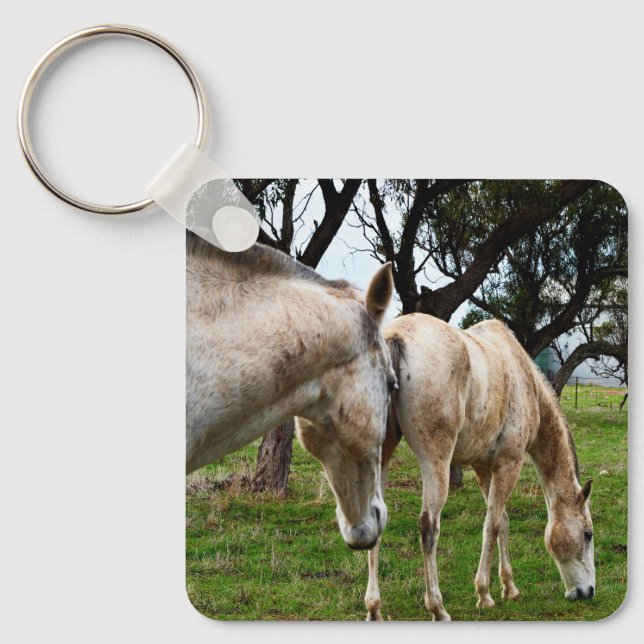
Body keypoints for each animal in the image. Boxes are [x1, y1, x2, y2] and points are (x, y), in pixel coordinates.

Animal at [364, 313, 595, 620]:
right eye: (588, 534)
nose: (588, 592)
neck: (526, 380)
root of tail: (395, 335)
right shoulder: (509, 465)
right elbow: (492, 525)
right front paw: (484, 594)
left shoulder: (485, 468)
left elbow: (502, 520)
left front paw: (509, 587)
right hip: (435, 461)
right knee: (429, 526)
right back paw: (437, 607)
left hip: (380, 456)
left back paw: (374, 608)